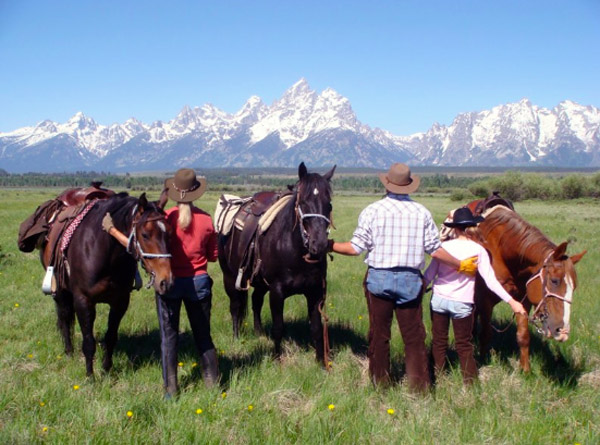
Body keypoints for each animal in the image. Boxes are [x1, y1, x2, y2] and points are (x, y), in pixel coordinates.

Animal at [40, 192, 172, 374]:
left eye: (169, 233)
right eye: (145, 234)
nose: (165, 281)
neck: (104, 251)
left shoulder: (120, 301)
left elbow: (111, 337)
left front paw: (107, 370)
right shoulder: (83, 301)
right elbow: (88, 342)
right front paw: (90, 376)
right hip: (60, 292)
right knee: (65, 319)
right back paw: (68, 352)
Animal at [218, 161, 336, 362]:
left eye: (329, 204)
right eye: (303, 203)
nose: (319, 245)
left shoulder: (316, 292)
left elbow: (316, 328)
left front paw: (321, 362)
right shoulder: (277, 292)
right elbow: (278, 327)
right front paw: (276, 359)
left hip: (260, 282)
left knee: (256, 301)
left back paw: (259, 333)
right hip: (230, 277)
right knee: (235, 306)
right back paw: (236, 337)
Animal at [468, 203, 584, 370]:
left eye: (574, 287)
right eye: (554, 280)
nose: (562, 331)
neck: (501, 251)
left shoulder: (522, 301)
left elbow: (523, 336)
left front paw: (526, 370)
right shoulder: (485, 301)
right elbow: (486, 334)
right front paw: (482, 361)